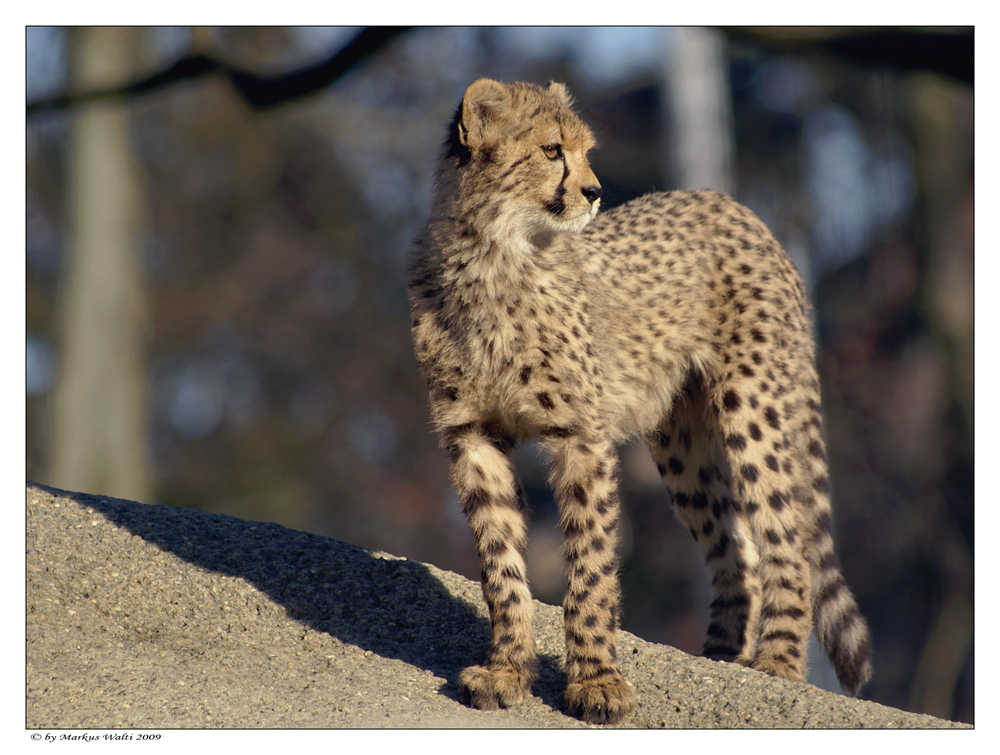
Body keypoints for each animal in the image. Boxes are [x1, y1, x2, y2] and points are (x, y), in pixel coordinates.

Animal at [406, 78, 868, 728]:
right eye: (551, 151)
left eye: (584, 151)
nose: (595, 191)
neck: (494, 255)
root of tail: (731, 204)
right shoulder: (472, 435)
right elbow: (499, 564)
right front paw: (507, 670)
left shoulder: (580, 435)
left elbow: (591, 565)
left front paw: (595, 681)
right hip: (683, 442)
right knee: (737, 550)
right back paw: (720, 658)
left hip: (753, 408)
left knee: (787, 539)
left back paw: (776, 663)